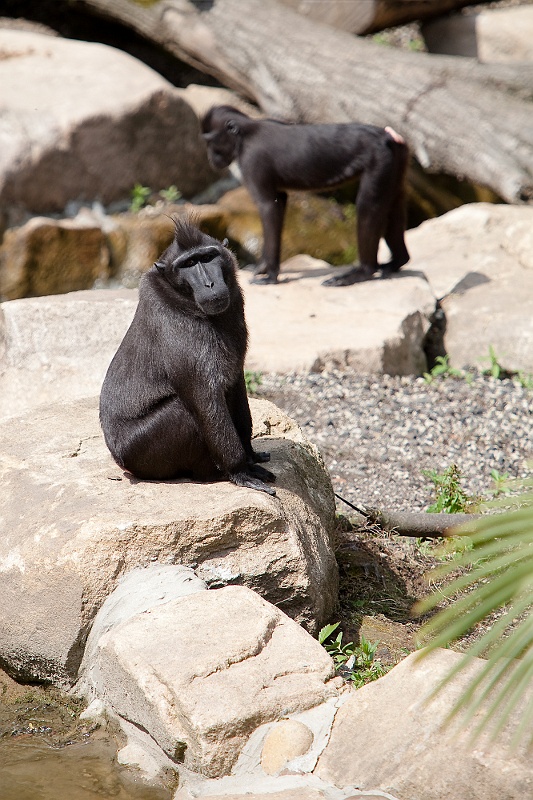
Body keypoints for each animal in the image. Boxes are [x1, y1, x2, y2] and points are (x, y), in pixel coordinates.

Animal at [99, 218, 276, 495]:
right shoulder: (180, 327)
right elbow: (205, 399)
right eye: (188, 264)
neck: (184, 299)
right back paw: (212, 473)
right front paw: (240, 470)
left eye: (207, 257)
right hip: (140, 452)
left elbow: (236, 382)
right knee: (184, 410)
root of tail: (118, 458)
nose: (209, 284)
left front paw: (250, 455)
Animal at [201, 105, 410, 286]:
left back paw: (363, 272)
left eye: (211, 140)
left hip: (380, 161)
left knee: (368, 206)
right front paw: (263, 267)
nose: (211, 157)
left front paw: (271, 275)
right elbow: (280, 201)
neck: (245, 133)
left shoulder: (252, 160)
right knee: (392, 205)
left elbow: (269, 206)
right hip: (396, 160)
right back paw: (397, 261)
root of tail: (385, 136)